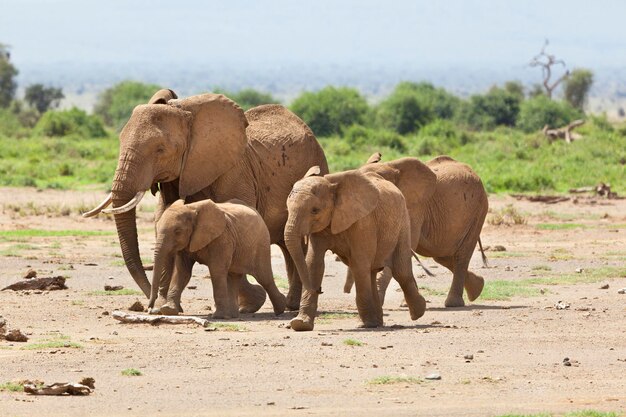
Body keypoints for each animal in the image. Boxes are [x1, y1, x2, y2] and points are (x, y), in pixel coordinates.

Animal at [149, 199, 286, 318]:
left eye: (177, 231)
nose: (150, 309)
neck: (192, 208)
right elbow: (182, 273)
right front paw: (168, 310)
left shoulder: (222, 238)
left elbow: (216, 271)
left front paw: (218, 316)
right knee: (233, 276)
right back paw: (232, 315)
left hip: (261, 243)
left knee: (264, 278)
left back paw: (280, 310)